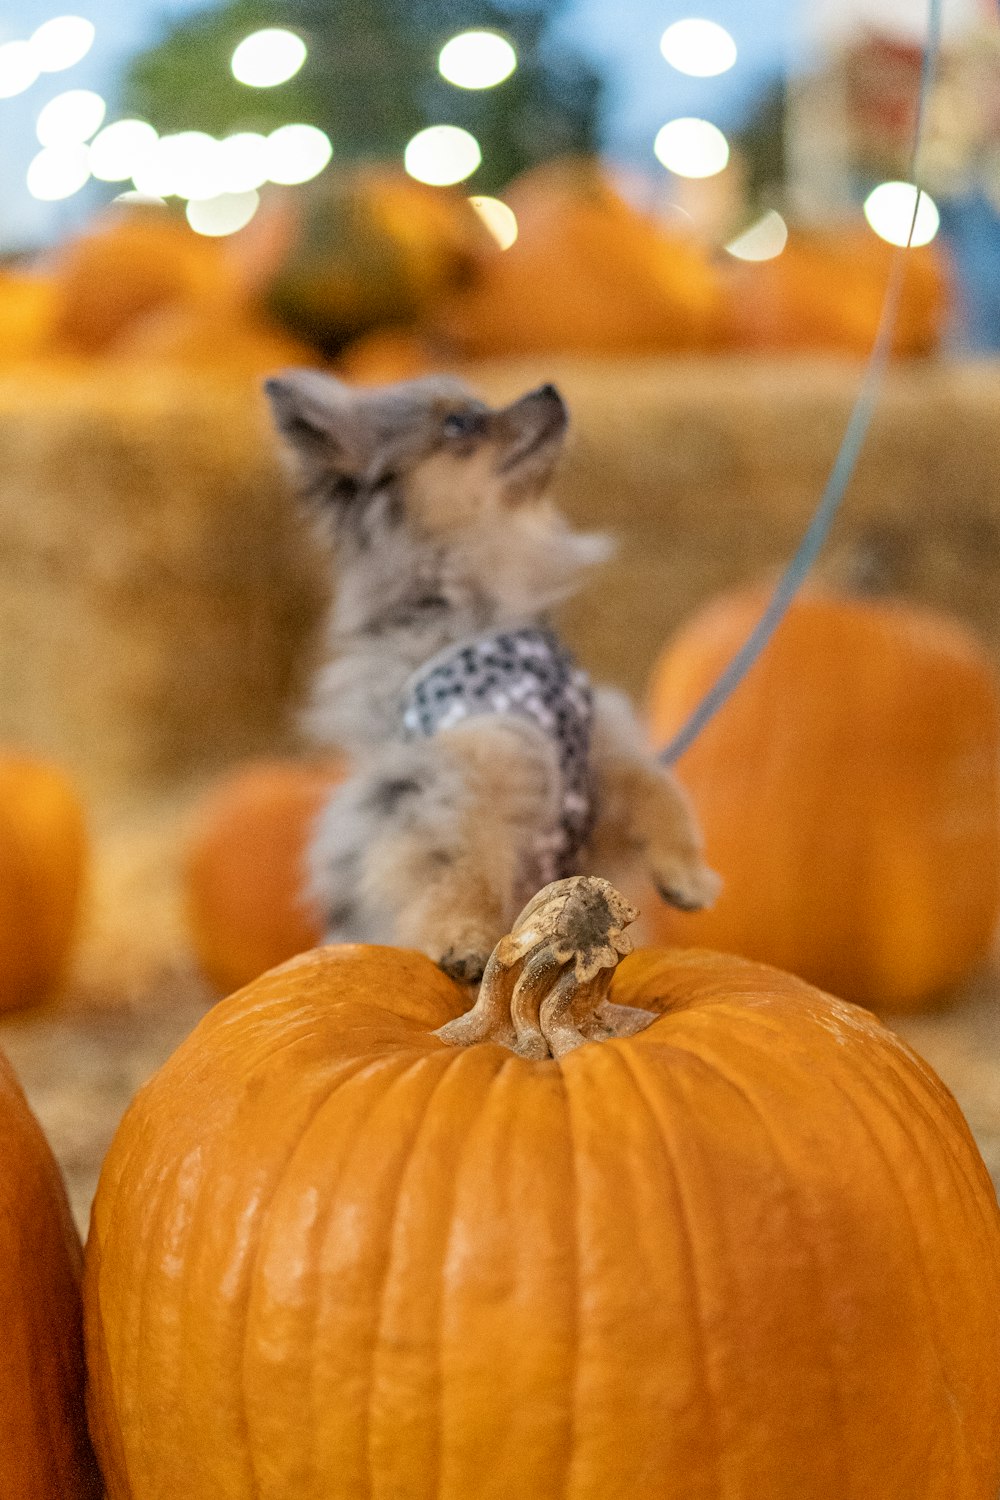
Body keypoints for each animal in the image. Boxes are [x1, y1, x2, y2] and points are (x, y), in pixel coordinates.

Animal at [263, 372, 719, 984]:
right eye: (459, 423)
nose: (550, 388)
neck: (494, 611)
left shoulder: (599, 757)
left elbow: (656, 788)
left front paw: (686, 874)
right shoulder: (455, 776)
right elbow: (462, 868)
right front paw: (463, 940)